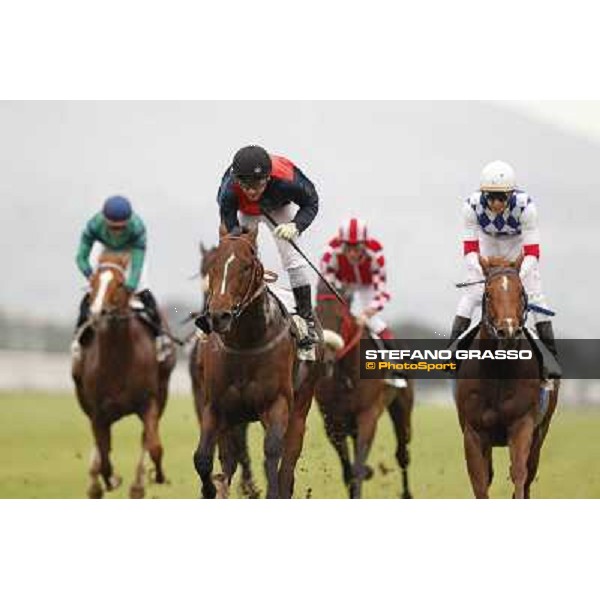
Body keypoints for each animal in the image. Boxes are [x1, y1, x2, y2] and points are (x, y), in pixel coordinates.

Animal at [72, 251, 176, 500]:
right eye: (92, 282)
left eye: (120, 283)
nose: (97, 313)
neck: (117, 360)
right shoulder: (97, 410)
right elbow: (104, 456)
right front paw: (107, 480)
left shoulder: (149, 402)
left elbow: (153, 446)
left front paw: (154, 476)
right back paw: (96, 481)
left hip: (162, 392)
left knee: (145, 439)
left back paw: (137, 484)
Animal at [312, 284, 414, 500]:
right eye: (316, 317)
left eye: (340, 318)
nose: (325, 358)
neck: (346, 375)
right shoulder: (332, 421)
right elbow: (347, 470)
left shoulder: (368, 415)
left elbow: (357, 468)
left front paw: (364, 473)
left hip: (402, 407)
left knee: (402, 453)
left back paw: (407, 494)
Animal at [458, 255, 560, 500]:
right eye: (487, 293)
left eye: (521, 292)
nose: (509, 332)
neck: (498, 372)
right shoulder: (473, 433)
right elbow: (480, 482)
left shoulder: (523, 425)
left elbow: (519, 475)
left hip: (541, 431)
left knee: (529, 473)